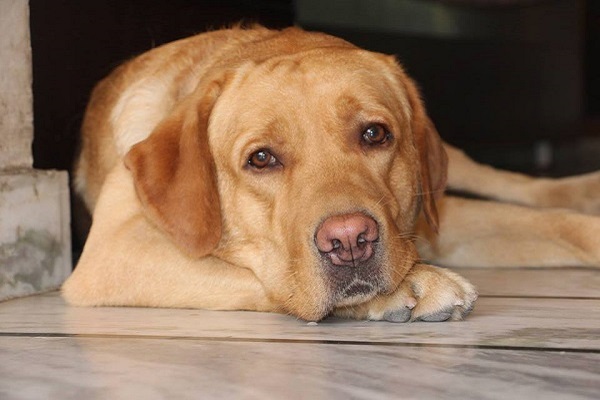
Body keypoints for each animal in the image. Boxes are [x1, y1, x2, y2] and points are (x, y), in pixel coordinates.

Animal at [62, 26, 600, 322]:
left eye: (375, 134)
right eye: (261, 159)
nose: (350, 240)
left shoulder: (427, 220)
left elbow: (562, 224)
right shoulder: (113, 252)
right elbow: (260, 279)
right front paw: (410, 286)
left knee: (517, 184)